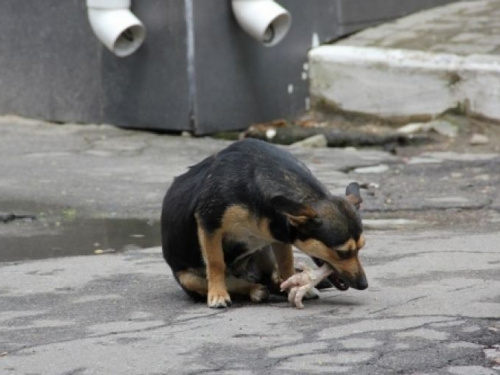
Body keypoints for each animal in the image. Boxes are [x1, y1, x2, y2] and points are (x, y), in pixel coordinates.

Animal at [162, 138, 366, 308]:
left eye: (361, 248)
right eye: (342, 253)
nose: (364, 284)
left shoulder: (279, 235)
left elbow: (286, 264)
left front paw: (293, 284)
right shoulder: (209, 224)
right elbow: (215, 263)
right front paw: (218, 294)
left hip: (263, 252)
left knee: (272, 279)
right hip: (188, 278)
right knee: (240, 282)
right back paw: (254, 290)